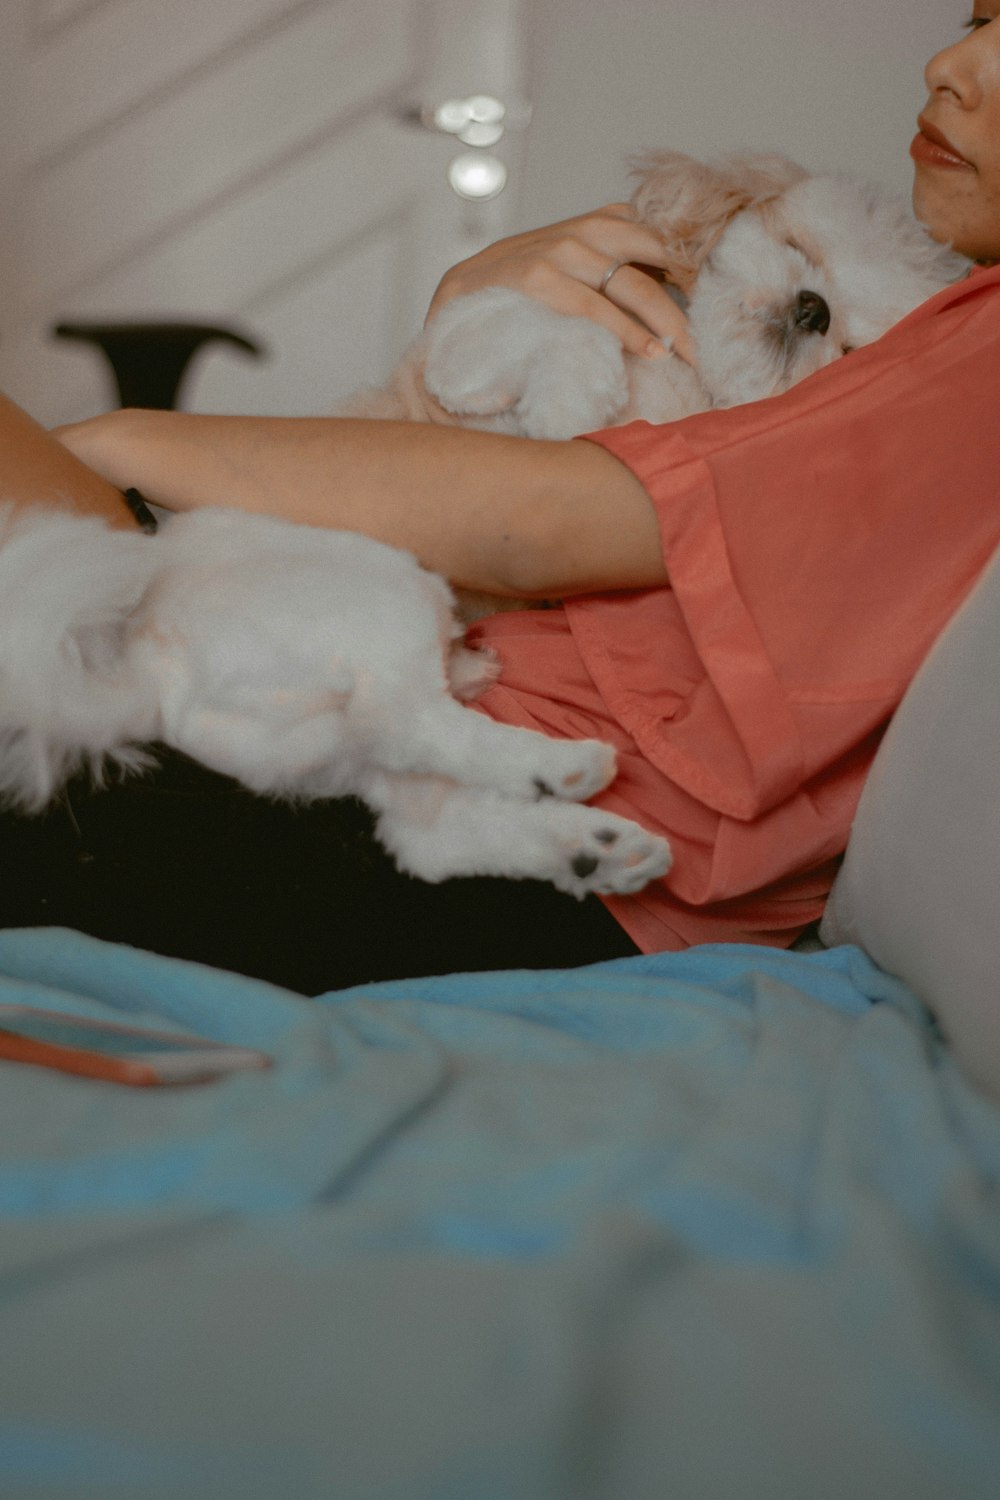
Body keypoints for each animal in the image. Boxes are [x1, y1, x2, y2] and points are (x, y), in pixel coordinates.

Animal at [1, 504, 671, 900]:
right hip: (386, 622)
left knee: (432, 839)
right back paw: (570, 768)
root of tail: (152, 668)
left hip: (338, 758)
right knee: (412, 726)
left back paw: (597, 855)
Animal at [344, 151, 971, 438]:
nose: (816, 308)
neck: (687, 375)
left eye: (848, 350)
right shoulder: (460, 335)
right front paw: (569, 396)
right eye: (798, 245)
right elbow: (553, 332)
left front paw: (565, 408)